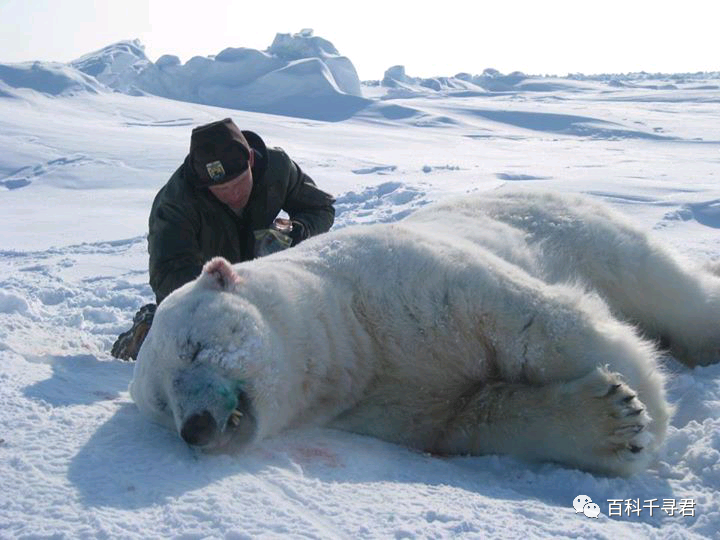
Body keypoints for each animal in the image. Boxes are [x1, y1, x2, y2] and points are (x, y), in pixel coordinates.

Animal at [129, 191, 720, 476]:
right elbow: (470, 418)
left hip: (586, 233)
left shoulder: (409, 282)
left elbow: (535, 321)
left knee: (668, 289)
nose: (197, 428)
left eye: (194, 348)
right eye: (162, 403)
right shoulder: (381, 404)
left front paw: (648, 403)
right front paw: (614, 422)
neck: (352, 332)